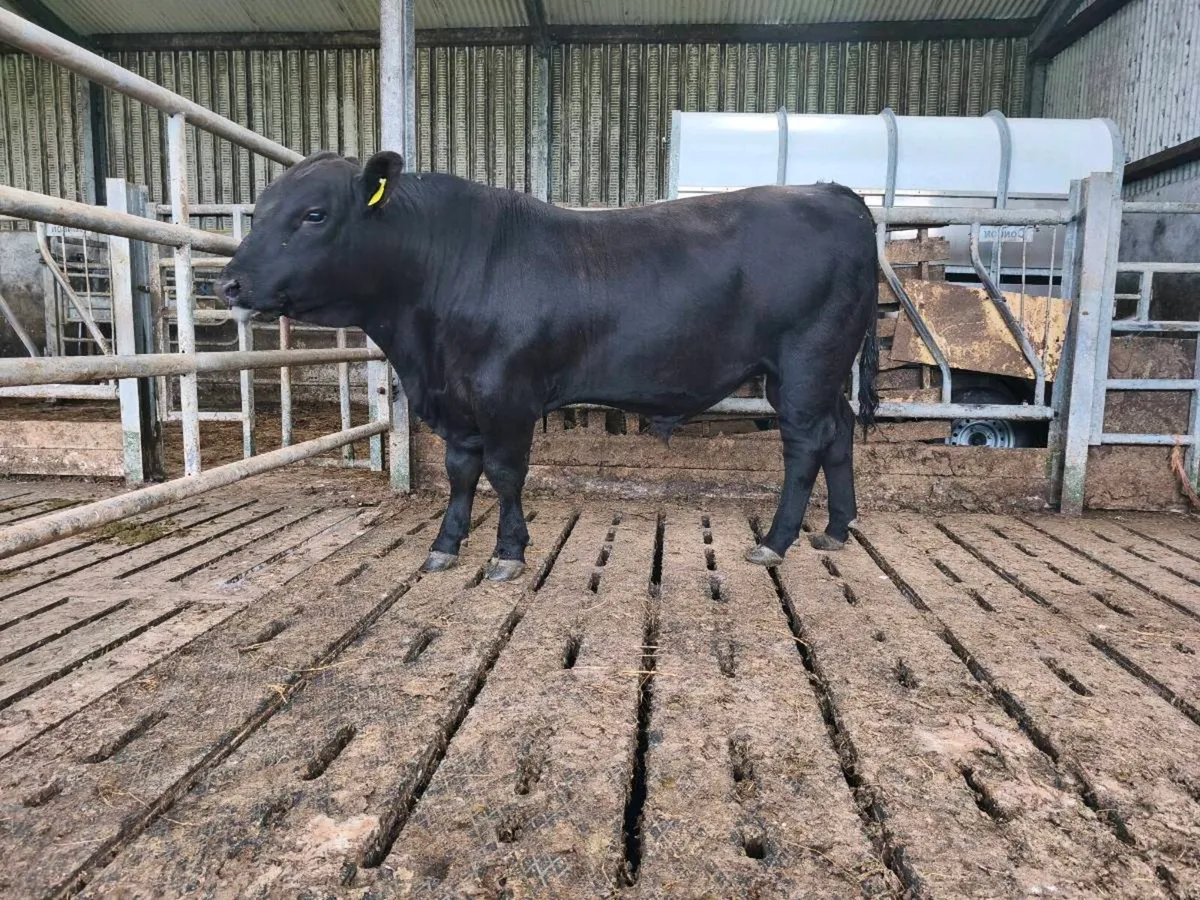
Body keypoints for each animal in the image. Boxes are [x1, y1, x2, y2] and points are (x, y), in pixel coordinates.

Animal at [217, 150, 879, 582]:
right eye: (261, 210)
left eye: (314, 214)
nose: (229, 282)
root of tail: (829, 191)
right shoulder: (456, 399)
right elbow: (462, 472)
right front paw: (446, 545)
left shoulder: (505, 393)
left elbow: (506, 473)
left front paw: (508, 553)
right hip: (821, 370)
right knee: (841, 430)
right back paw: (836, 528)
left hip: (804, 362)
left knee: (806, 443)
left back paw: (776, 541)